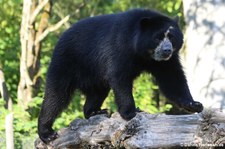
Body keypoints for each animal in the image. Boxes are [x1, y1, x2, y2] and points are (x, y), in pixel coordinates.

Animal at [37, 8, 204, 143]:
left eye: (172, 37)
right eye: (158, 37)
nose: (167, 50)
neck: (144, 54)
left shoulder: (163, 63)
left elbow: (172, 78)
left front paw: (194, 104)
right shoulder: (120, 46)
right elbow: (120, 77)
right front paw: (132, 112)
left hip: (94, 76)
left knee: (97, 93)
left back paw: (95, 111)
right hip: (67, 62)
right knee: (56, 96)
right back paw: (47, 133)